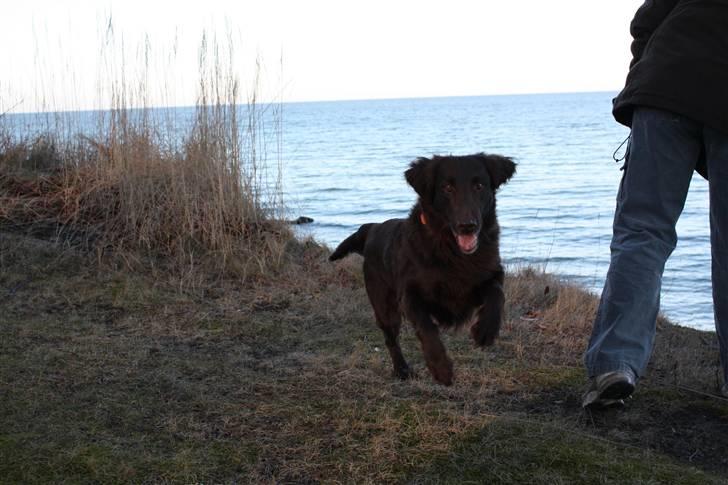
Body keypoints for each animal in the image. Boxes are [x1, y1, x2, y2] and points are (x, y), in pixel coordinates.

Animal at [330, 153, 516, 384]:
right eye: (447, 187)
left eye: (479, 186)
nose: (467, 226)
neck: (451, 250)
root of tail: (373, 227)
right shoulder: (410, 295)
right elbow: (426, 327)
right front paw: (440, 368)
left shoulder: (491, 272)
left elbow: (497, 293)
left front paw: (486, 330)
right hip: (384, 306)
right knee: (390, 339)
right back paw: (402, 370)